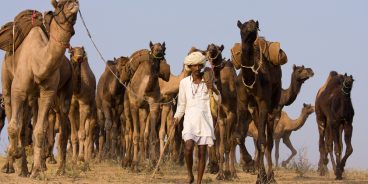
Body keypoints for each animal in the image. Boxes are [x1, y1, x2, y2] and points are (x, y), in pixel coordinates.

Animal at [0, 0, 79, 178]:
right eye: (60, 5)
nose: (74, 3)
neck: (37, 61)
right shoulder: (18, 90)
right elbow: (14, 127)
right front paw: (15, 154)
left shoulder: (47, 93)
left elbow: (39, 131)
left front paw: (36, 170)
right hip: (7, 80)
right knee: (11, 111)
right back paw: (11, 166)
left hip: (57, 94)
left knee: (58, 127)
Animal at [123, 41, 170, 171]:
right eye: (152, 48)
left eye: (163, 48)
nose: (158, 51)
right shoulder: (134, 105)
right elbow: (135, 135)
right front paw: (134, 164)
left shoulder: (154, 105)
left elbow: (152, 136)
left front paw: (154, 164)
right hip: (127, 106)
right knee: (129, 132)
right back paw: (127, 162)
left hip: (144, 110)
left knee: (143, 133)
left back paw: (143, 161)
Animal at [236, 19, 282, 183]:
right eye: (243, 27)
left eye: (255, 26)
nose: (251, 27)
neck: (251, 80)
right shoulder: (242, 104)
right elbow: (240, 135)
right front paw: (249, 163)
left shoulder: (263, 103)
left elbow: (262, 141)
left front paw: (260, 175)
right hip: (254, 111)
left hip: (273, 105)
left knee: (268, 141)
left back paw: (270, 177)